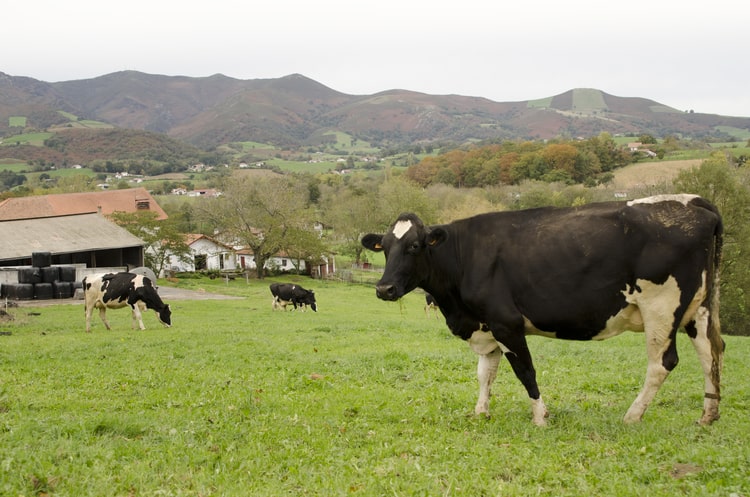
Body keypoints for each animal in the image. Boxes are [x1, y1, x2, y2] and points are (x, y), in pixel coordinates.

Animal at [362, 192, 724, 424]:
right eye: (385, 248)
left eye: (414, 246)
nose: (384, 288)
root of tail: (694, 201)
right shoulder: (486, 326)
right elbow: (485, 373)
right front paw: (481, 412)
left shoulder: (506, 322)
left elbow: (525, 371)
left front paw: (540, 417)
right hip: (698, 308)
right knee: (711, 351)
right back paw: (708, 415)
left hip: (661, 307)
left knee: (663, 362)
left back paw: (632, 416)